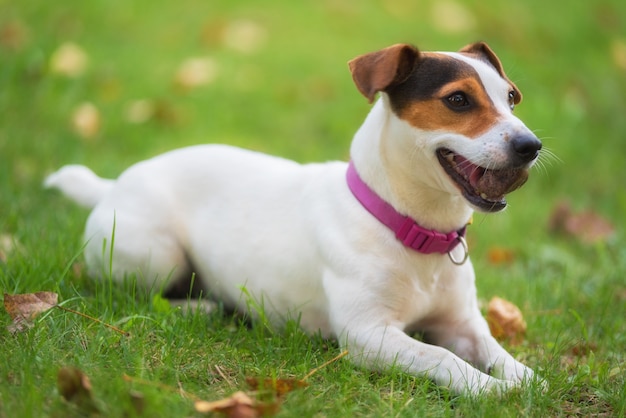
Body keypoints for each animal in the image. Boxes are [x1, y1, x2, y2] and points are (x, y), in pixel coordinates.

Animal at [45, 41, 540, 396]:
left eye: (512, 98)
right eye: (457, 100)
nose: (531, 145)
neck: (409, 227)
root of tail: (113, 184)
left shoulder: (462, 323)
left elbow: (496, 352)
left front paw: (522, 378)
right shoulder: (368, 336)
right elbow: (441, 357)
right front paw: (487, 388)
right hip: (154, 254)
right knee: (131, 292)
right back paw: (204, 305)